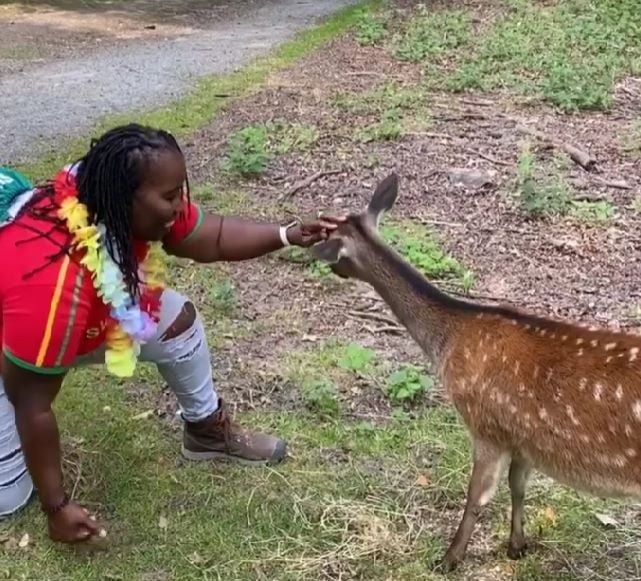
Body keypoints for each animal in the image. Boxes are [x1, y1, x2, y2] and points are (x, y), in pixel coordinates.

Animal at [311, 172, 641, 571]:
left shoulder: (484, 423)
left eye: (331, 241)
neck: (448, 340)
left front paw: (449, 558)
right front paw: (517, 545)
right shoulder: (519, 435)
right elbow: (518, 485)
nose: (331, 266)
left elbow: (476, 497)